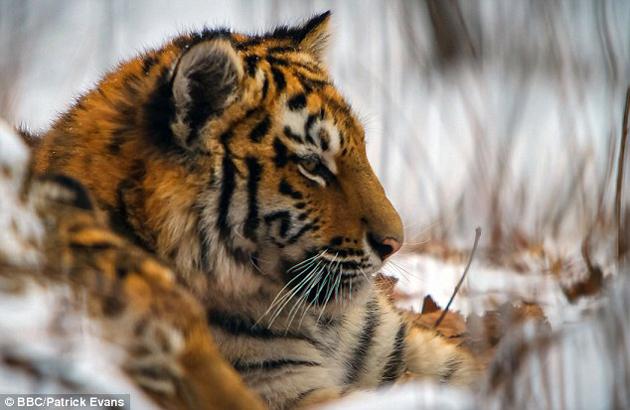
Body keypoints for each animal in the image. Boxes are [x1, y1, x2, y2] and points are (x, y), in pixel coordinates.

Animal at [32, 11, 482, 408]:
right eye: (312, 164)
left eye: (362, 149)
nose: (394, 244)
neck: (325, 326)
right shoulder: (286, 386)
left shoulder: (398, 347)